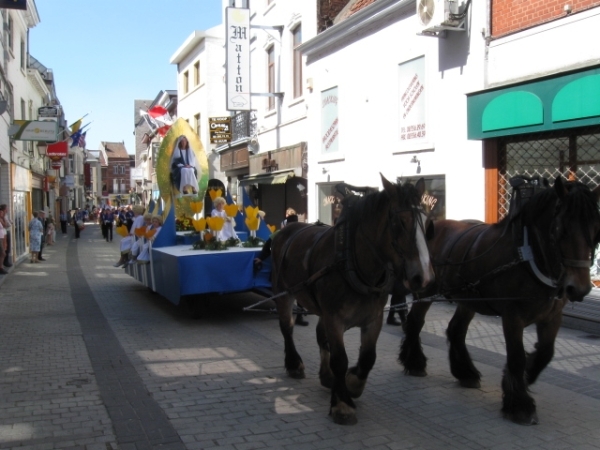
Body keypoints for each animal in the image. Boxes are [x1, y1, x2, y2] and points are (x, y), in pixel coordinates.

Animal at [270, 174, 434, 424]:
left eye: (426, 222)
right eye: (401, 222)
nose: (423, 277)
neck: (354, 262)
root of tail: (287, 229)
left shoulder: (373, 319)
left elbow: (368, 357)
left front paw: (352, 383)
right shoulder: (335, 319)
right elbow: (340, 359)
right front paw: (342, 404)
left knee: (320, 336)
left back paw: (327, 376)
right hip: (284, 292)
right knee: (287, 328)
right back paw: (294, 363)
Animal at [398, 176, 600, 426]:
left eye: (596, 229)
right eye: (560, 229)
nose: (579, 288)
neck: (528, 255)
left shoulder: (552, 316)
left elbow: (546, 352)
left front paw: (526, 376)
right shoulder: (512, 316)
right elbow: (516, 357)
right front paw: (520, 405)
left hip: (469, 298)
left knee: (456, 330)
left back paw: (465, 372)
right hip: (425, 291)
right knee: (415, 322)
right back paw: (414, 362)